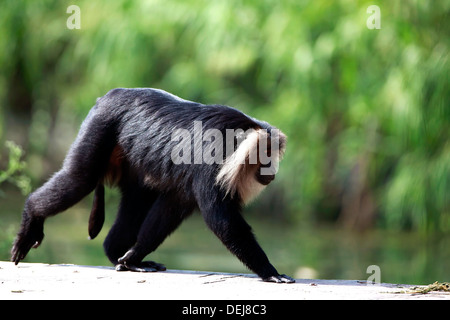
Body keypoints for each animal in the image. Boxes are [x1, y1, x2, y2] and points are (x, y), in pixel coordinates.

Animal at [10, 87, 296, 282]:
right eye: (265, 157)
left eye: (272, 156)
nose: (272, 170)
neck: (233, 141)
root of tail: (109, 96)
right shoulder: (210, 161)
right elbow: (221, 220)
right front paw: (269, 271)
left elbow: (171, 209)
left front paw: (132, 257)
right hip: (99, 128)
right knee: (79, 179)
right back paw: (31, 215)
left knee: (137, 198)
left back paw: (117, 252)